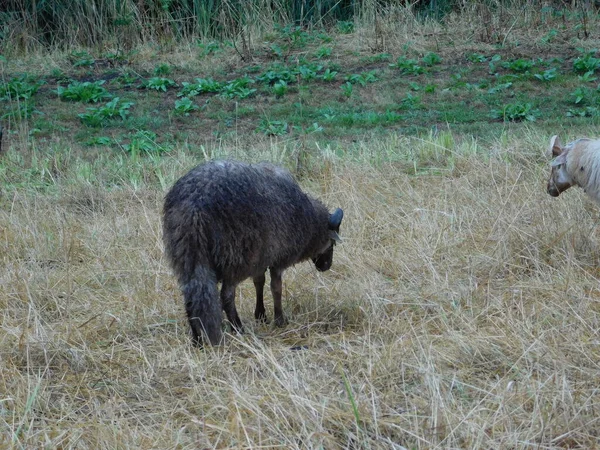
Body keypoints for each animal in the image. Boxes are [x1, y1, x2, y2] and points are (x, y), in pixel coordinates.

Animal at [162, 160, 344, 346]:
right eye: (332, 242)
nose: (326, 266)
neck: (308, 220)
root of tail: (194, 205)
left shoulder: (261, 257)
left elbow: (259, 282)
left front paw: (261, 315)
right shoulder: (277, 258)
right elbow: (276, 288)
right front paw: (279, 320)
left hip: (186, 255)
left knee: (191, 297)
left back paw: (197, 339)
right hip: (234, 256)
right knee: (227, 296)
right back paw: (237, 328)